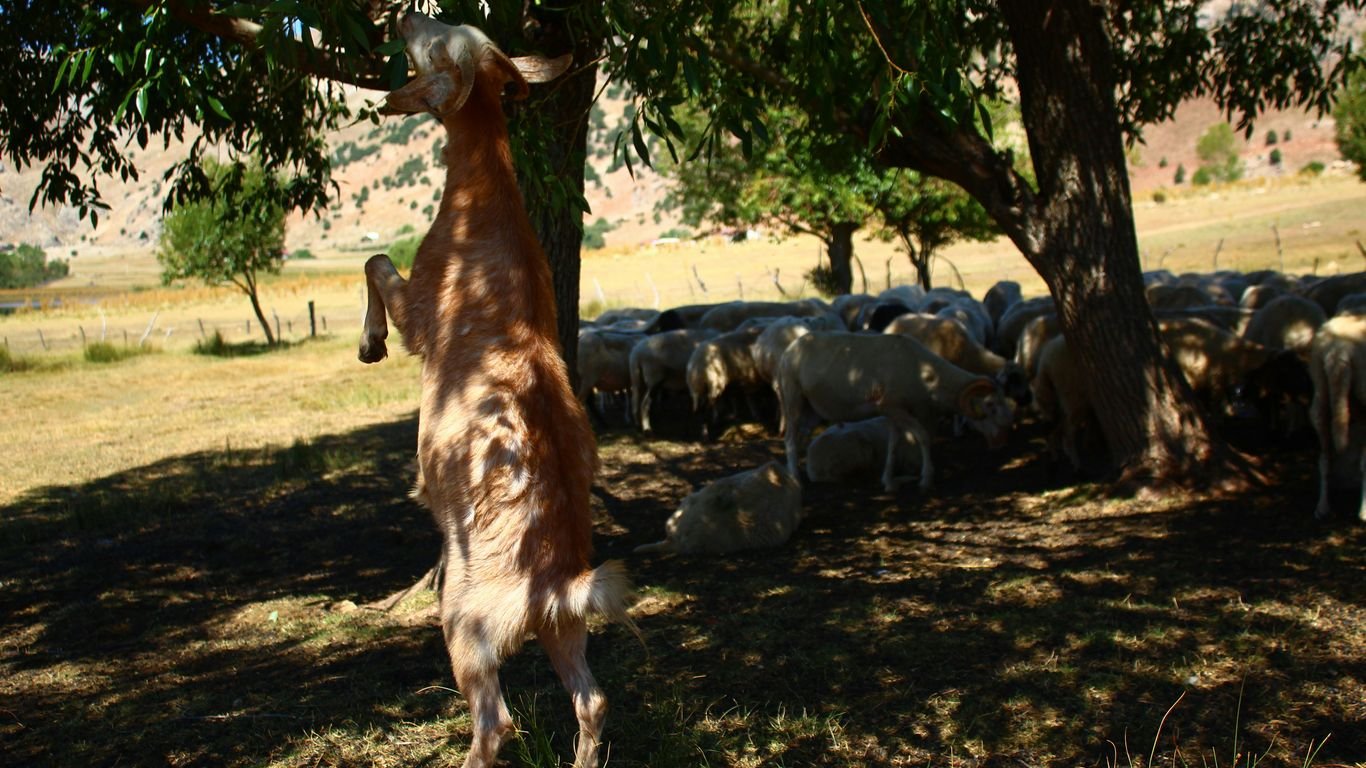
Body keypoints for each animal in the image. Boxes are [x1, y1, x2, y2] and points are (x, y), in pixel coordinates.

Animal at [356, 15, 634, 768]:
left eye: (437, 40)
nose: (403, 16)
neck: (485, 196)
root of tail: (556, 586)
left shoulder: (421, 308)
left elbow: (375, 262)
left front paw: (369, 343)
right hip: (562, 629)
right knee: (593, 700)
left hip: (465, 623)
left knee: (496, 721)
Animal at [778, 331, 1013, 493]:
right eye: (990, 405)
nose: (1002, 440)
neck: (925, 373)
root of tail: (789, 350)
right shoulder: (891, 406)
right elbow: (923, 436)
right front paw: (926, 480)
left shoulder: (895, 413)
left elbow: (894, 443)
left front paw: (889, 482)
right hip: (792, 397)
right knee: (789, 438)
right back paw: (796, 479)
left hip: (812, 408)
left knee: (801, 436)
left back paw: (797, 473)